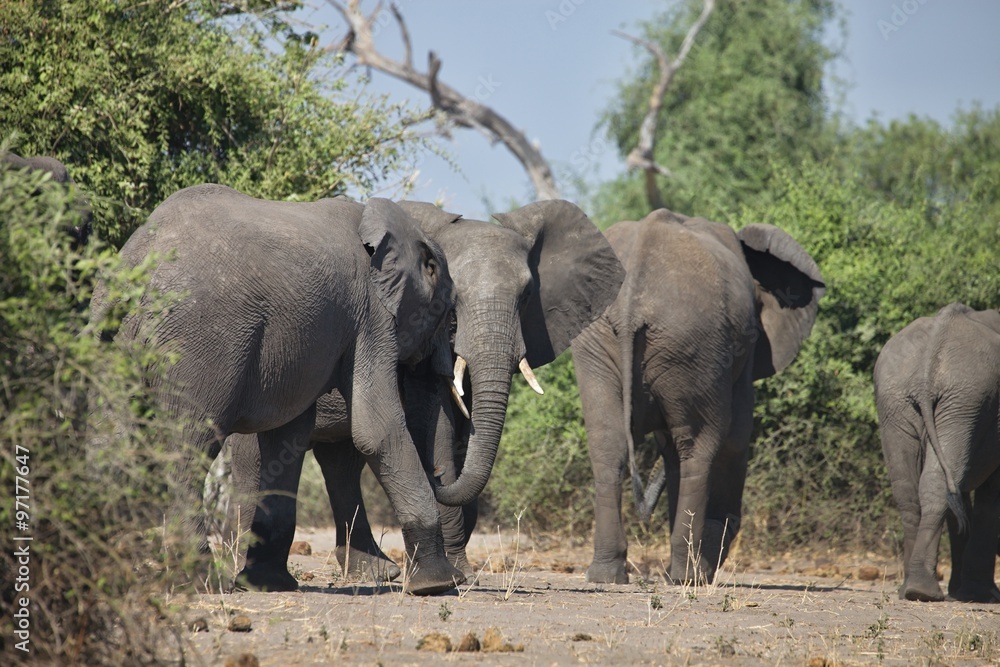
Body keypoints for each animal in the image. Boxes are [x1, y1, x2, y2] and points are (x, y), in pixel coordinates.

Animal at [92, 183, 465, 595]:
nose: (439, 474)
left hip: (114, 339)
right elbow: (375, 430)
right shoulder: (372, 315)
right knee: (186, 449)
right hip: (198, 343)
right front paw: (438, 585)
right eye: (449, 314)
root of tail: (134, 263)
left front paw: (267, 584)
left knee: (112, 444)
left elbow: (287, 438)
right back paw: (200, 581)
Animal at [227, 199, 626, 587]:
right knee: (256, 459)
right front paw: (459, 575)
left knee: (341, 463)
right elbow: (439, 433)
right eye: (452, 300)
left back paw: (375, 572)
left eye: (527, 294)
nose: (435, 475)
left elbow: (449, 432)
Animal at [572, 208, 825, 585]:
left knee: (609, 443)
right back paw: (688, 576)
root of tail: (632, 300)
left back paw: (607, 576)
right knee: (700, 447)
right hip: (694, 344)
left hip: (600, 344)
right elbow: (737, 437)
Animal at [873, 303, 1000, 603]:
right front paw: (982, 595)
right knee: (938, 484)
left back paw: (912, 589)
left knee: (909, 490)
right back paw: (925, 591)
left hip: (897, 400)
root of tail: (926, 371)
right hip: (965, 397)